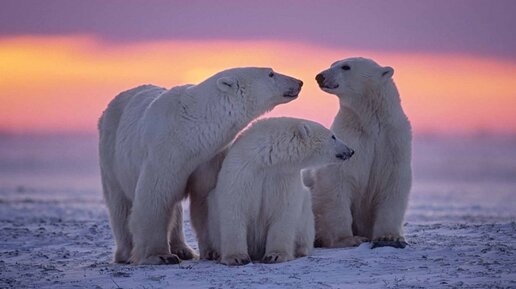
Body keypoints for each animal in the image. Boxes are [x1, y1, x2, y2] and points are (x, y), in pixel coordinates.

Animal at [99, 66, 304, 264]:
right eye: (271, 73)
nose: (299, 82)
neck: (190, 131)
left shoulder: (209, 157)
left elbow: (205, 198)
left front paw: (213, 251)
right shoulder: (164, 152)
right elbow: (155, 197)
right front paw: (160, 256)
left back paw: (183, 250)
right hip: (111, 153)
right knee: (120, 204)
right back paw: (126, 253)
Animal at [306, 58, 412, 248]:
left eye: (346, 66)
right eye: (333, 63)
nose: (320, 76)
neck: (370, 123)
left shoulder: (393, 143)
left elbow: (393, 183)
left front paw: (389, 237)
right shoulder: (350, 139)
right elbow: (338, 181)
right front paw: (349, 239)